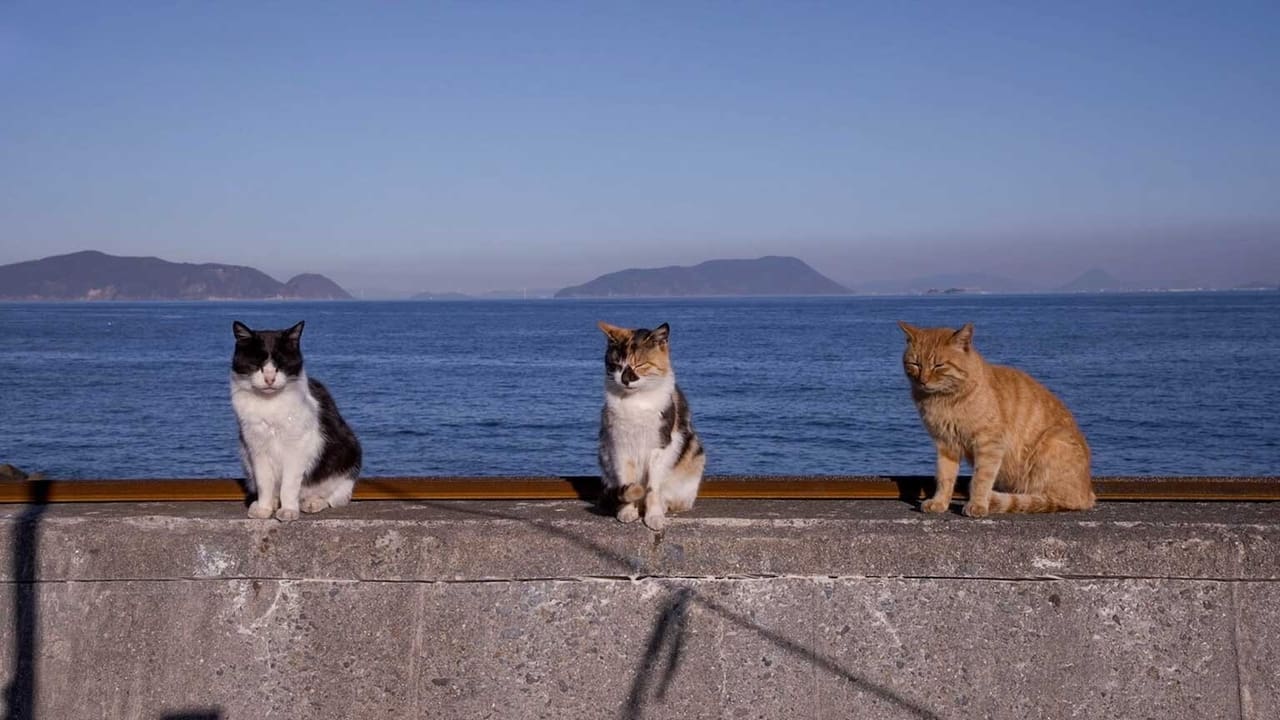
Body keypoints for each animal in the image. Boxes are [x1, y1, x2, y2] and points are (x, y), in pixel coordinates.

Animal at [227, 322, 360, 517]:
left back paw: (312, 502)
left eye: (281, 364)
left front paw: (289, 510)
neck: (270, 405)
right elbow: (264, 482)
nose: (269, 378)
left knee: (334, 497)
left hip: (348, 453)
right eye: (257, 364)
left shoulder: (297, 448)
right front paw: (264, 508)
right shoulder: (256, 447)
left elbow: (289, 484)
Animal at [593, 317, 706, 527]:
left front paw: (654, 516)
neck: (636, 402)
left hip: (694, 453)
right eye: (617, 365)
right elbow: (627, 482)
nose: (626, 379)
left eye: (639, 364)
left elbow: (653, 488)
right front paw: (627, 511)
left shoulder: (660, 446)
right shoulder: (620, 445)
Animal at [896, 320, 1095, 515]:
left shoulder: (989, 443)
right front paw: (940, 502)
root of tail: (1088, 493)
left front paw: (977, 504)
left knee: (1053, 500)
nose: (923, 381)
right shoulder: (946, 444)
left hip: (1052, 443)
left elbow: (980, 479)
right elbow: (945, 477)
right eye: (915, 364)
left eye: (938, 365)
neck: (943, 400)